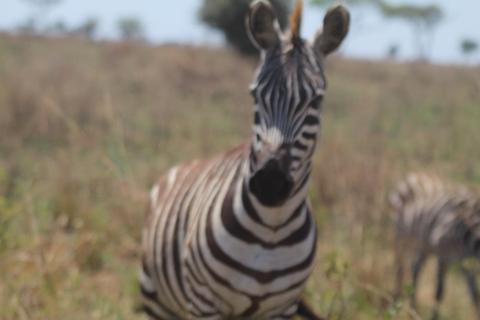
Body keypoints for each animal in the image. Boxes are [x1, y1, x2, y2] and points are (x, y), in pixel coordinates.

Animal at [139, 0, 348, 320]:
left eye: (316, 100)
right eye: (255, 95)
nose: (270, 183)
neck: (271, 229)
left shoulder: (283, 308)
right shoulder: (204, 302)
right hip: (157, 300)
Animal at [390, 172, 480, 320]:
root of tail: (416, 174)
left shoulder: (465, 261)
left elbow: (474, 294)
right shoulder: (442, 252)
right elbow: (439, 291)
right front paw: (434, 317)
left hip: (423, 244)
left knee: (415, 269)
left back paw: (412, 309)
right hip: (400, 235)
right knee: (399, 268)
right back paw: (395, 304)